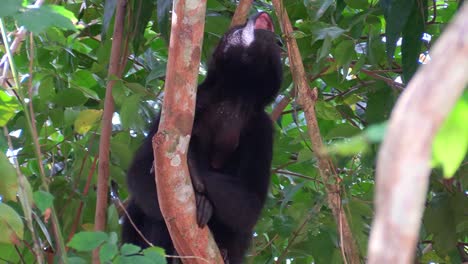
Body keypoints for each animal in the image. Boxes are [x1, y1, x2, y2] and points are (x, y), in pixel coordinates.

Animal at [121, 11, 282, 262]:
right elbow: (140, 176)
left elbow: (250, 206)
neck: (236, 94)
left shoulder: (262, 128)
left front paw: (193, 165)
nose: (265, 13)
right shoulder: (193, 101)